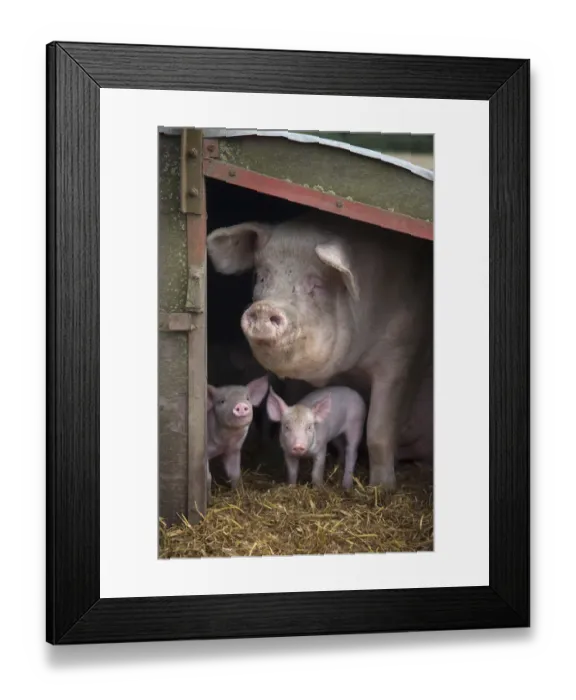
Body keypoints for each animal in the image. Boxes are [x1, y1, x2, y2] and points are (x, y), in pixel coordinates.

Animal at [207, 209, 433, 491]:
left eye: (316, 284)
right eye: (261, 276)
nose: (264, 308)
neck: (348, 369)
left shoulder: (400, 355)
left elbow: (378, 431)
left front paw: (382, 488)